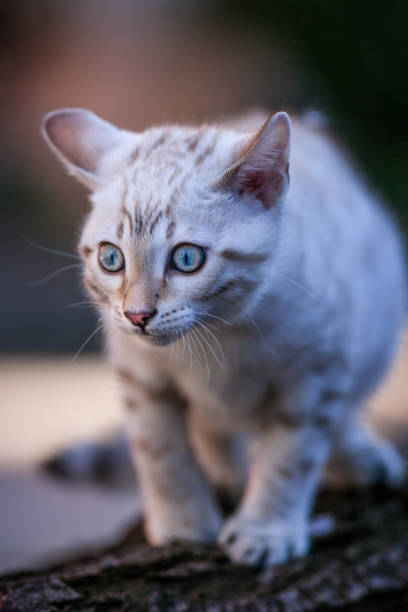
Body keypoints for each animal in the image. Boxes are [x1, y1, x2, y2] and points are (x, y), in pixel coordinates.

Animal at [41, 106, 404, 568]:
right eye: (111, 259)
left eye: (186, 258)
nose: (137, 315)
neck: (216, 333)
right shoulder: (139, 373)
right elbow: (160, 452)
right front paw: (184, 525)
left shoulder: (316, 376)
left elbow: (290, 458)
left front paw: (265, 531)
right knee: (209, 430)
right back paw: (226, 471)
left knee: (344, 411)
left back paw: (357, 457)